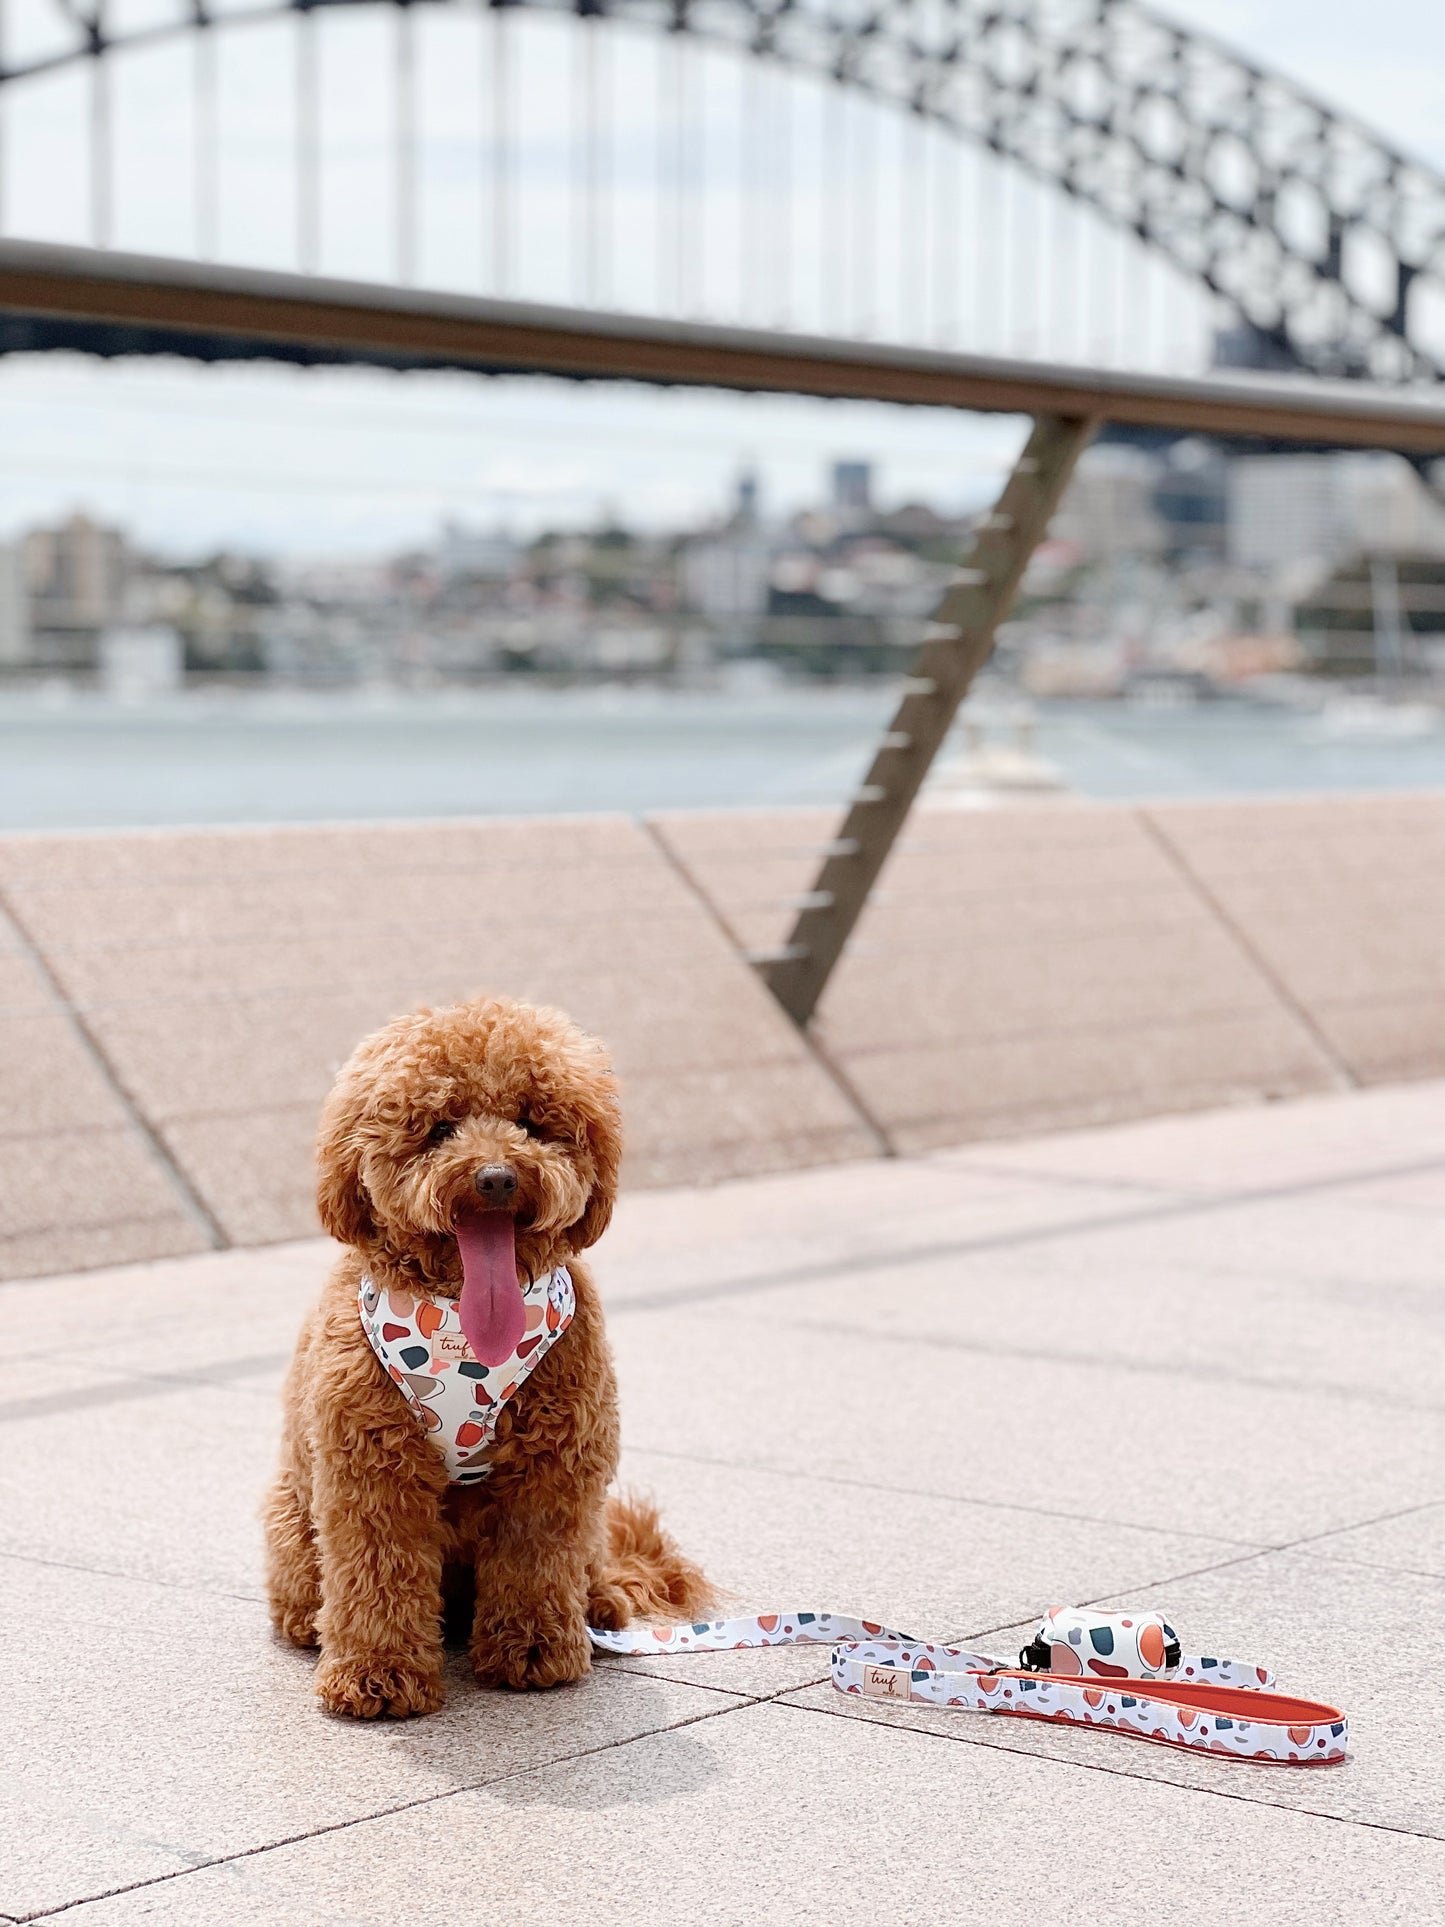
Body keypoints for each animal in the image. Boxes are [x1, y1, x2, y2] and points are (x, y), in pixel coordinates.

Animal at [263, 994, 712, 1718]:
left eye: (532, 1122)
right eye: (440, 1127)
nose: (497, 1177)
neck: (463, 1330)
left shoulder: (554, 1465)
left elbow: (535, 1561)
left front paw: (533, 1652)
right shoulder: (371, 1468)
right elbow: (377, 1570)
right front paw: (378, 1674)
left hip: (590, 1521)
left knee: (587, 1564)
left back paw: (599, 1604)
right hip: (290, 1512)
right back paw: (312, 1621)